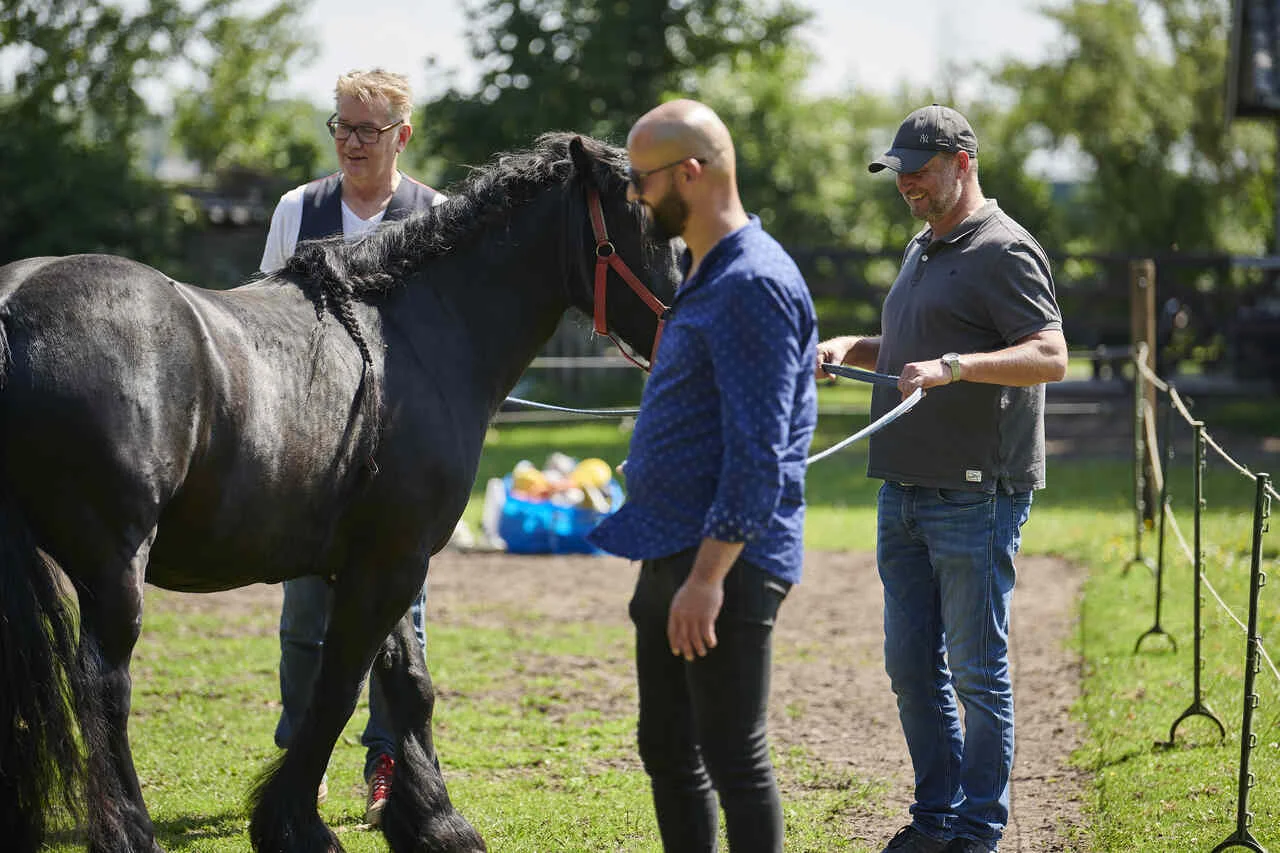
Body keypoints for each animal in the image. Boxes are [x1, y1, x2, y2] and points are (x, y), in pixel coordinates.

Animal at [0, 132, 679, 853]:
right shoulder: (393, 561)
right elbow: (340, 688)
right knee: (104, 688)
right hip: (115, 565)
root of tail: (13, 305)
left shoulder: (372, 559)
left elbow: (406, 683)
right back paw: (131, 831)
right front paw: (296, 824)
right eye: (649, 222)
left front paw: (433, 821)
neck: (417, 332)